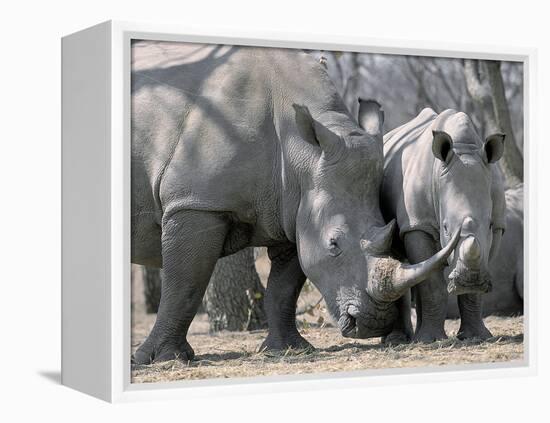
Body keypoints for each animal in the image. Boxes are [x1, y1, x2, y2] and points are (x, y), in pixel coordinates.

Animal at [130, 42, 458, 364]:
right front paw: (162, 359)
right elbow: (185, 284)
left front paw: (288, 349)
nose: (373, 323)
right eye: (334, 245)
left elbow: (285, 287)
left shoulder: (294, 206)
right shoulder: (195, 203)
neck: (300, 150)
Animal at [360, 102, 506, 344]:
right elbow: (431, 285)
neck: (465, 149)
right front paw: (431, 340)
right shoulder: (418, 224)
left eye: (488, 226)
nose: (470, 280)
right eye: (445, 227)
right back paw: (401, 340)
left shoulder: (498, 225)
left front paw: (477, 337)